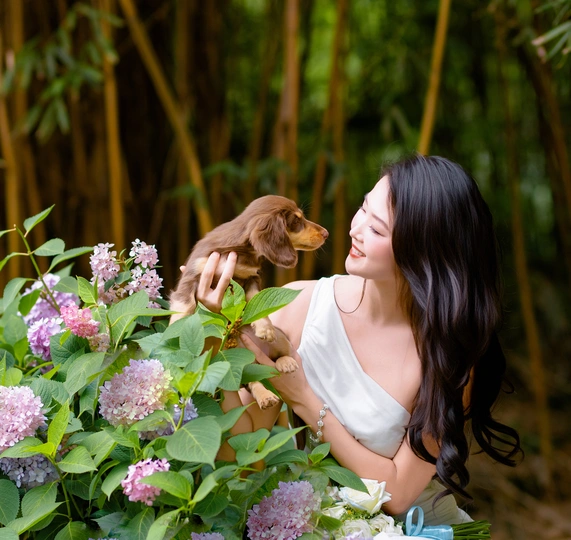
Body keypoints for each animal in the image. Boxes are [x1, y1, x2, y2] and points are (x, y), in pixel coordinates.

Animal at [169, 195, 328, 409]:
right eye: (296, 221)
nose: (326, 233)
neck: (239, 251)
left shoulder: (252, 277)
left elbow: (256, 301)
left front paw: (265, 329)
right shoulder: (193, 274)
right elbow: (184, 306)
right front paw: (173, 335)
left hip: (279, 342)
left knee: (277, 358)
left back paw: (285, 363)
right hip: (238, 363)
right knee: (252, 381)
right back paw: (266, 396)